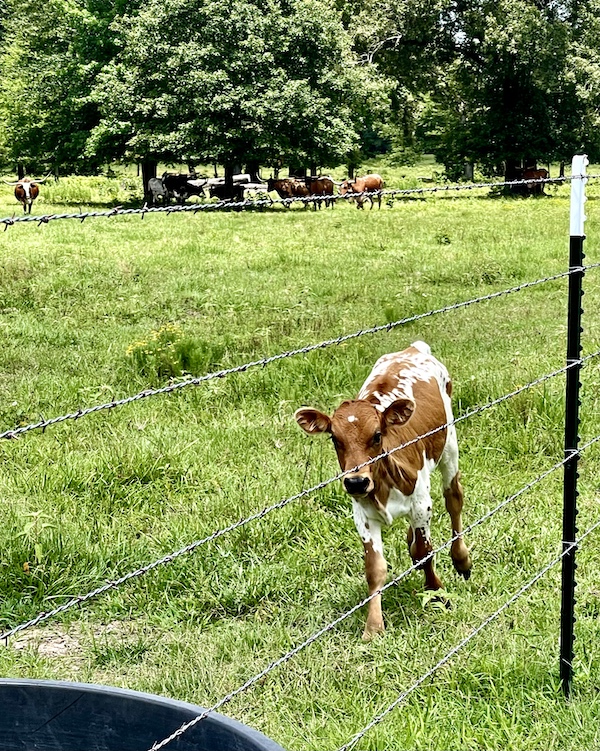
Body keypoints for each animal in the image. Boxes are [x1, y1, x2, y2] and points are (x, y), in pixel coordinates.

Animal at [294, 341, 472, 639]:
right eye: (335, 439)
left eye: (377, 435)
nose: (356, 482)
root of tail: (413, 348)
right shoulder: (362, 515)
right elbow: (375, 569)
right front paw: (373, 626)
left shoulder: (421, 503)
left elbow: (425, 550)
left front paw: (436, 592)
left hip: (449, 445)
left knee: (453, 499)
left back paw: (461, 559)